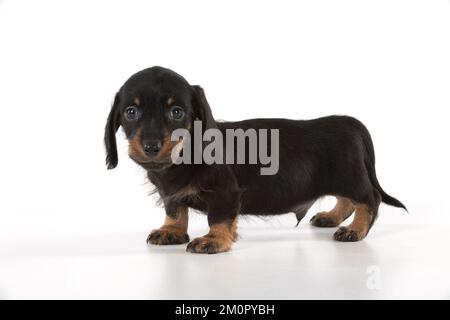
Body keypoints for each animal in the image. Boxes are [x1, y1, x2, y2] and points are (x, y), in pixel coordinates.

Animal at [105, 66, 408, 254]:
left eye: (176, 112)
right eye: (131, 111)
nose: (151, 146)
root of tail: (350, 123)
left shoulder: (225, 192)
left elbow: (219, 218)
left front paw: (214, 240)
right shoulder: (171, 195)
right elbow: (175, 211)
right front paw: (171, 231)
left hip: (350, 176)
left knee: (369, 199)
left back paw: (355, 229)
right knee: (345, 201)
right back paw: (331, 217)